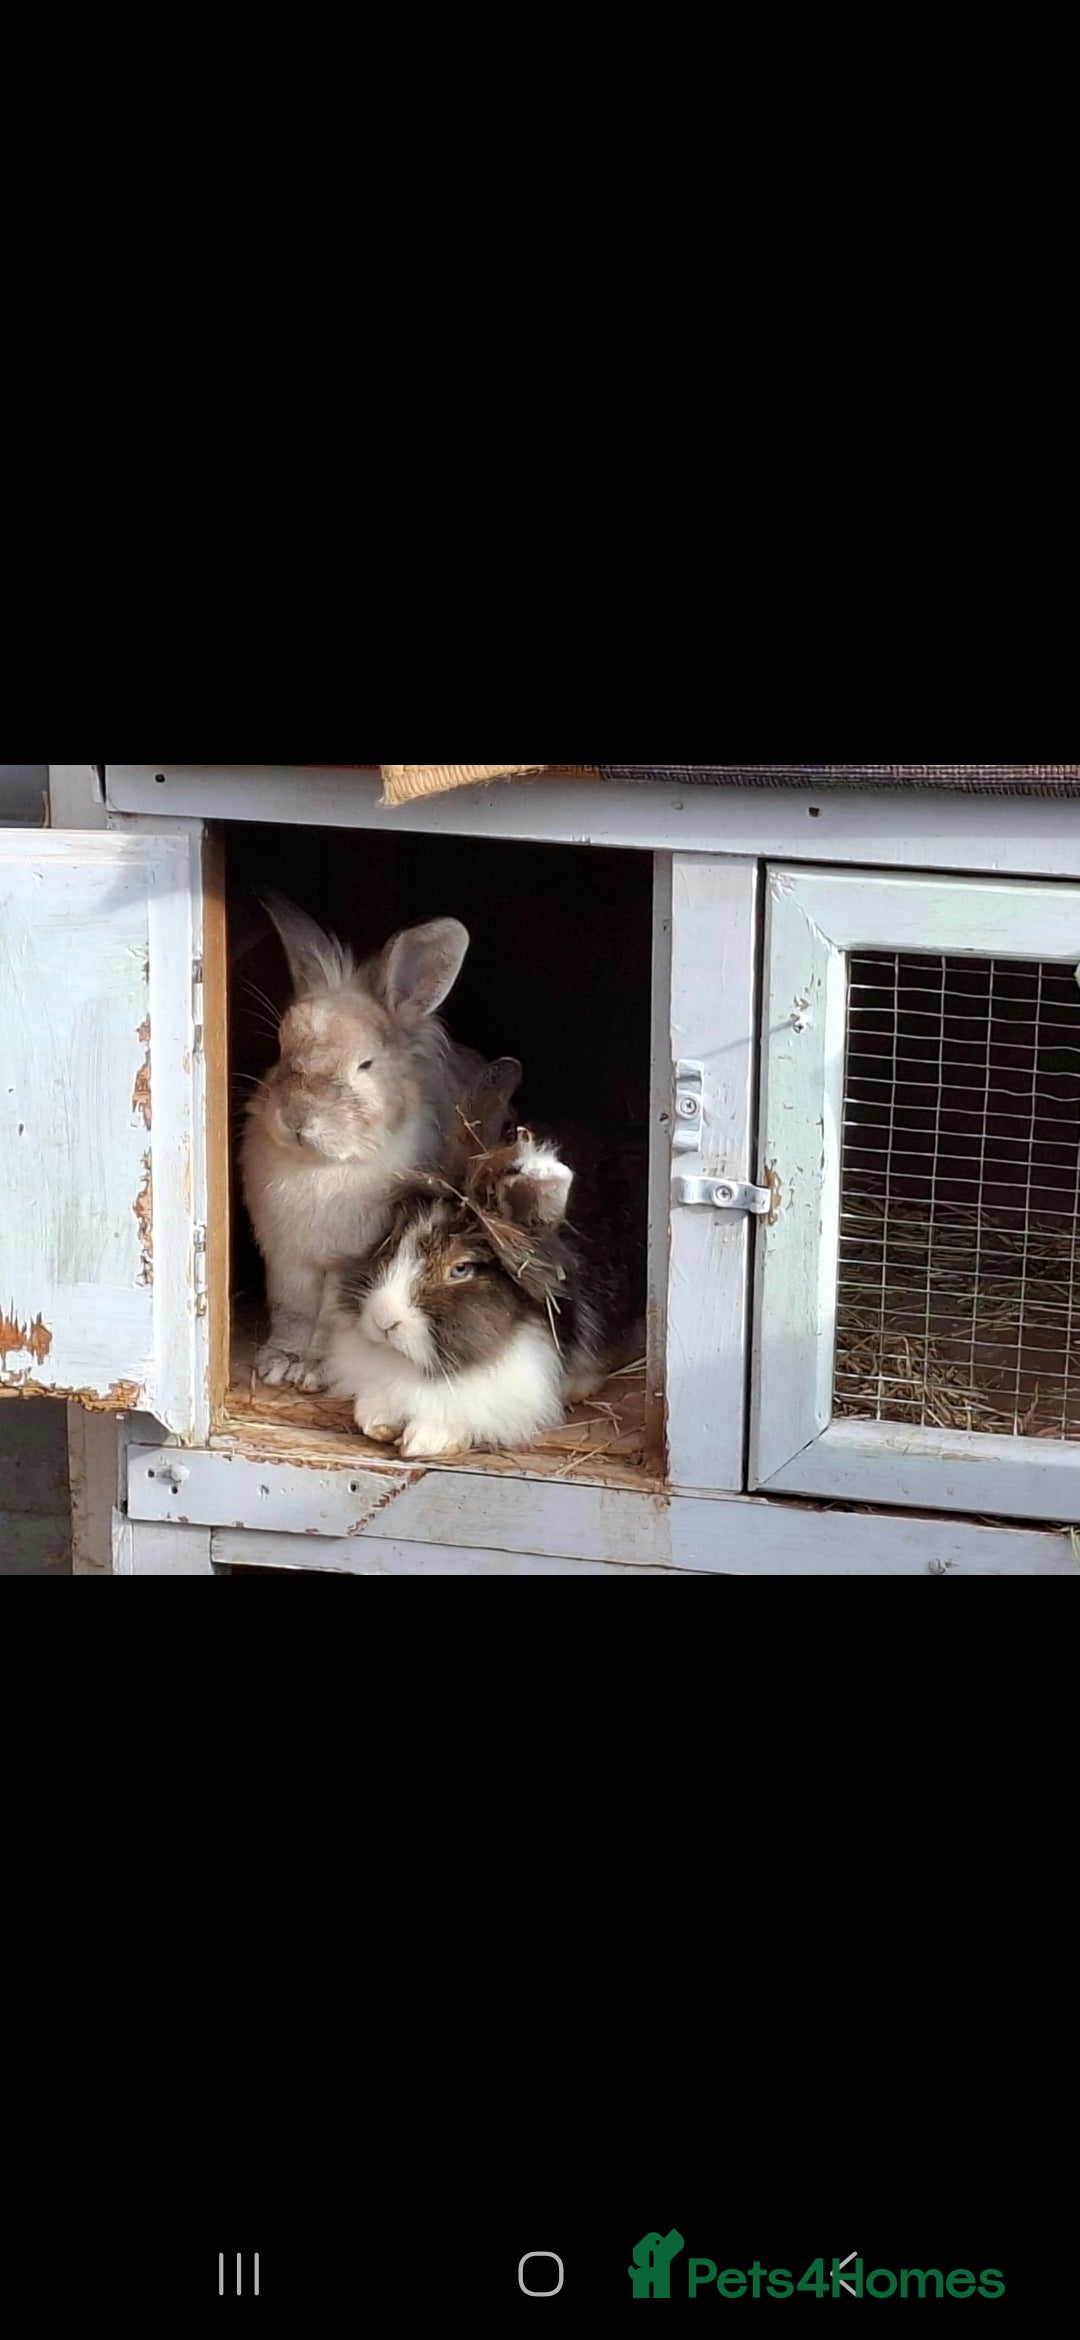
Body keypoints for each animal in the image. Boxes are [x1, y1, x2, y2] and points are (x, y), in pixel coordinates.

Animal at [240, 891, 484, 1391]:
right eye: (281, 1049)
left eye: (366, 1065)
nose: (297, 1117)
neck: (324, 1166)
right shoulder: (286, 1260)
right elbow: (292, 1311)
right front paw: (278, 1363)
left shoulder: (349, 1263)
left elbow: (330, 1320)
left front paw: (314, 1370)